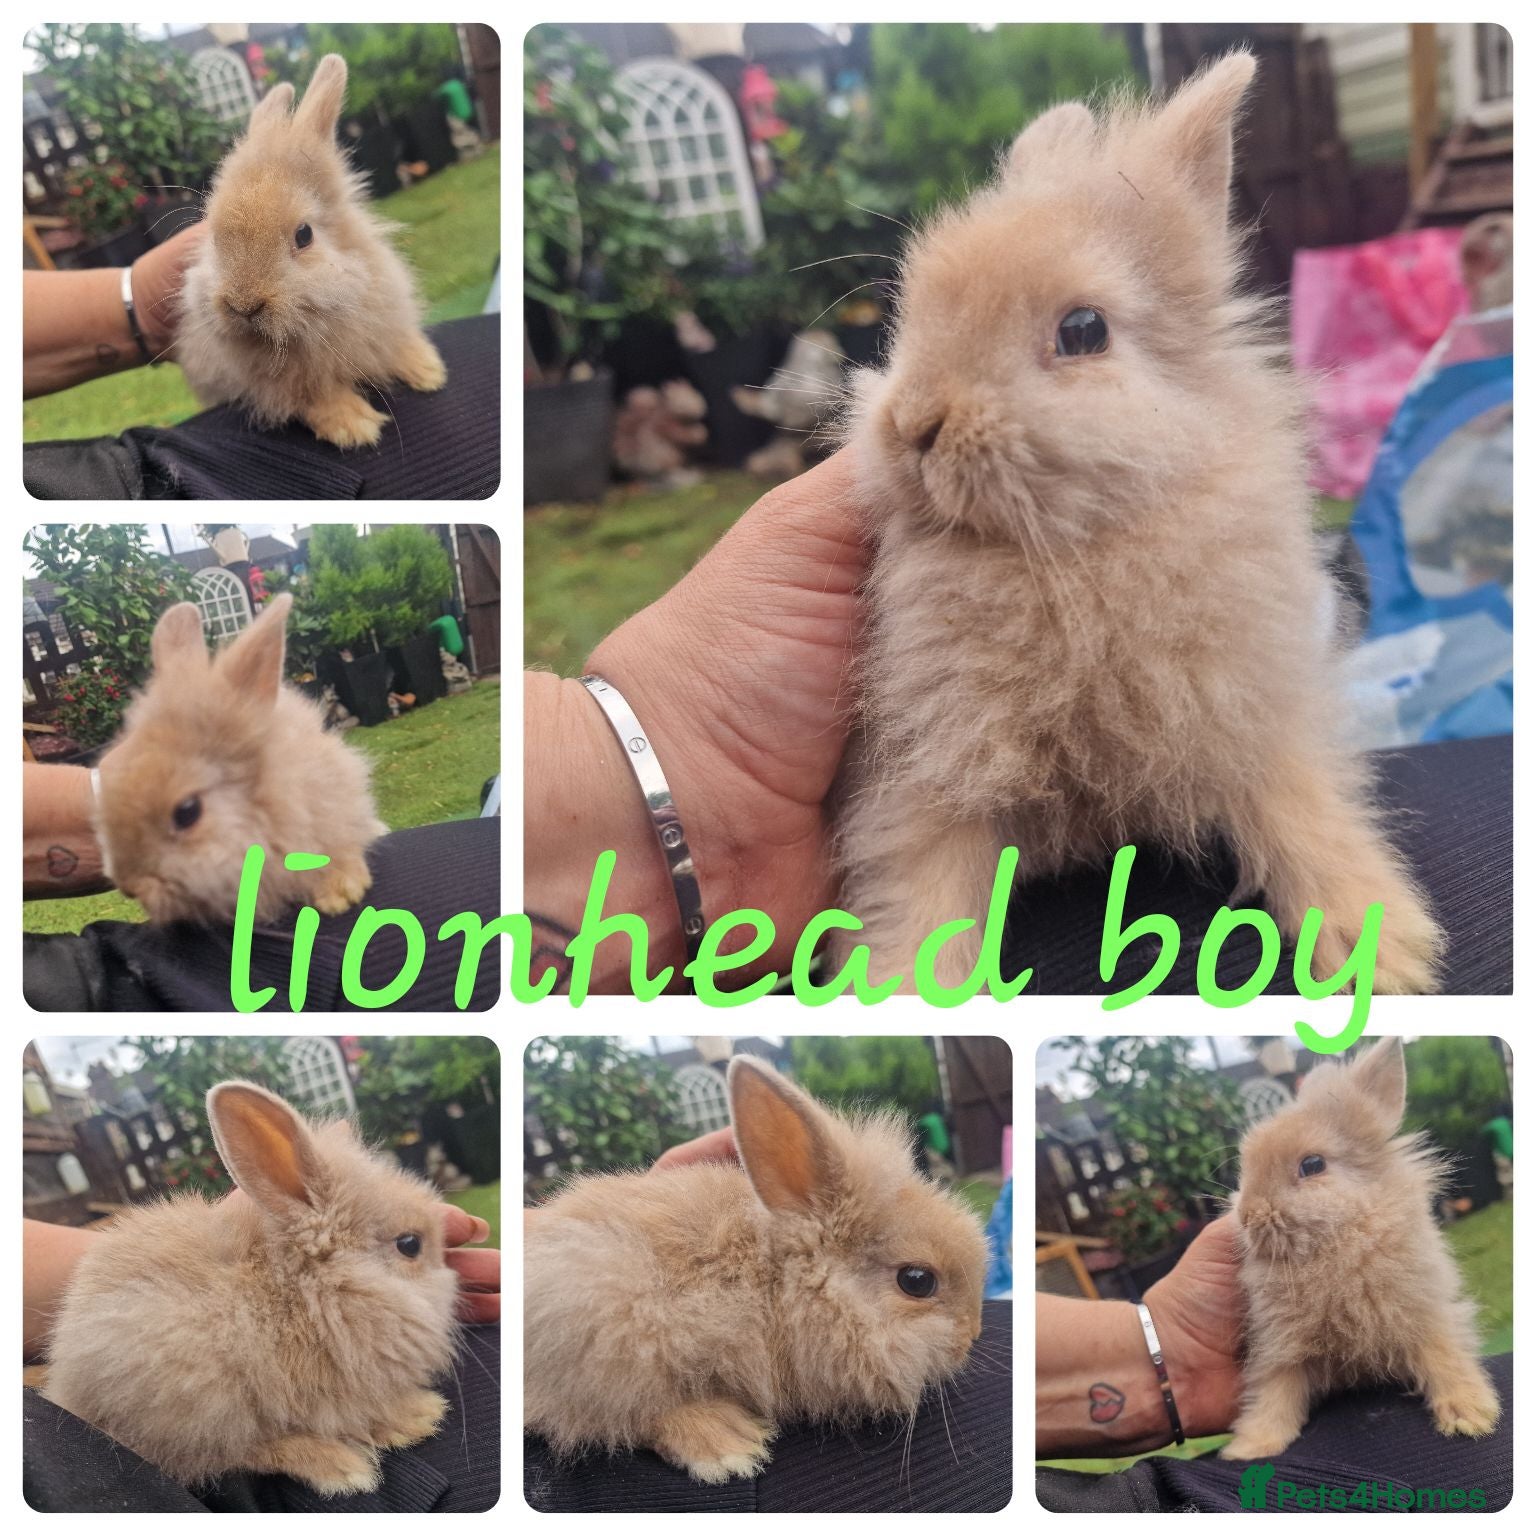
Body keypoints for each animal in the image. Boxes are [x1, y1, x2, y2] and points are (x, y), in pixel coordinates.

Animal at [42, 1082, 461, 1495]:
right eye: (410, 1244)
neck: (311, 1292)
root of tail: (67, 1387)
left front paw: (420, 1414)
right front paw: (420, 1415)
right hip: (198, 1401)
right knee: (233, 1454)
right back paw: (341, 1468)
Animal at [176, 54, 447, 450]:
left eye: (304, 235)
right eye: (213, 238)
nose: (243, 306)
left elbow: (396, 344)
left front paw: (429, 371)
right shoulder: (279, 384)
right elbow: (312, 396)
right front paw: (356, 427)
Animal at [523, 1055, 988, 1483]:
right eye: (917, 1281)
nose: (971, 1337)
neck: (771, 1280)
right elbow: (630, 1412)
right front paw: (731, 1452)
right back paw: (727, 1441)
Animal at [834, 50, 1443, 995]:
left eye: (1084, 330)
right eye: (907, 324)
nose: (913, 426)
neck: (1071, 557)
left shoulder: (1251, 707)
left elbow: (1302, 810)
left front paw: (1387, 957)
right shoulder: (931, 769)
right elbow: (923, 888)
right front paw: (898, 990)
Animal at [1219, 1037, 1499, 1461]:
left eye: (1312, 1165)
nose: (1247, 1215)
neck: (1335, 1246)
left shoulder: (1426, 1313)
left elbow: (1444, 1358)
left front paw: (1471, 1417)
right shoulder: (1279, 1347)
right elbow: (1274, 1393)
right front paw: (1251, 1448)